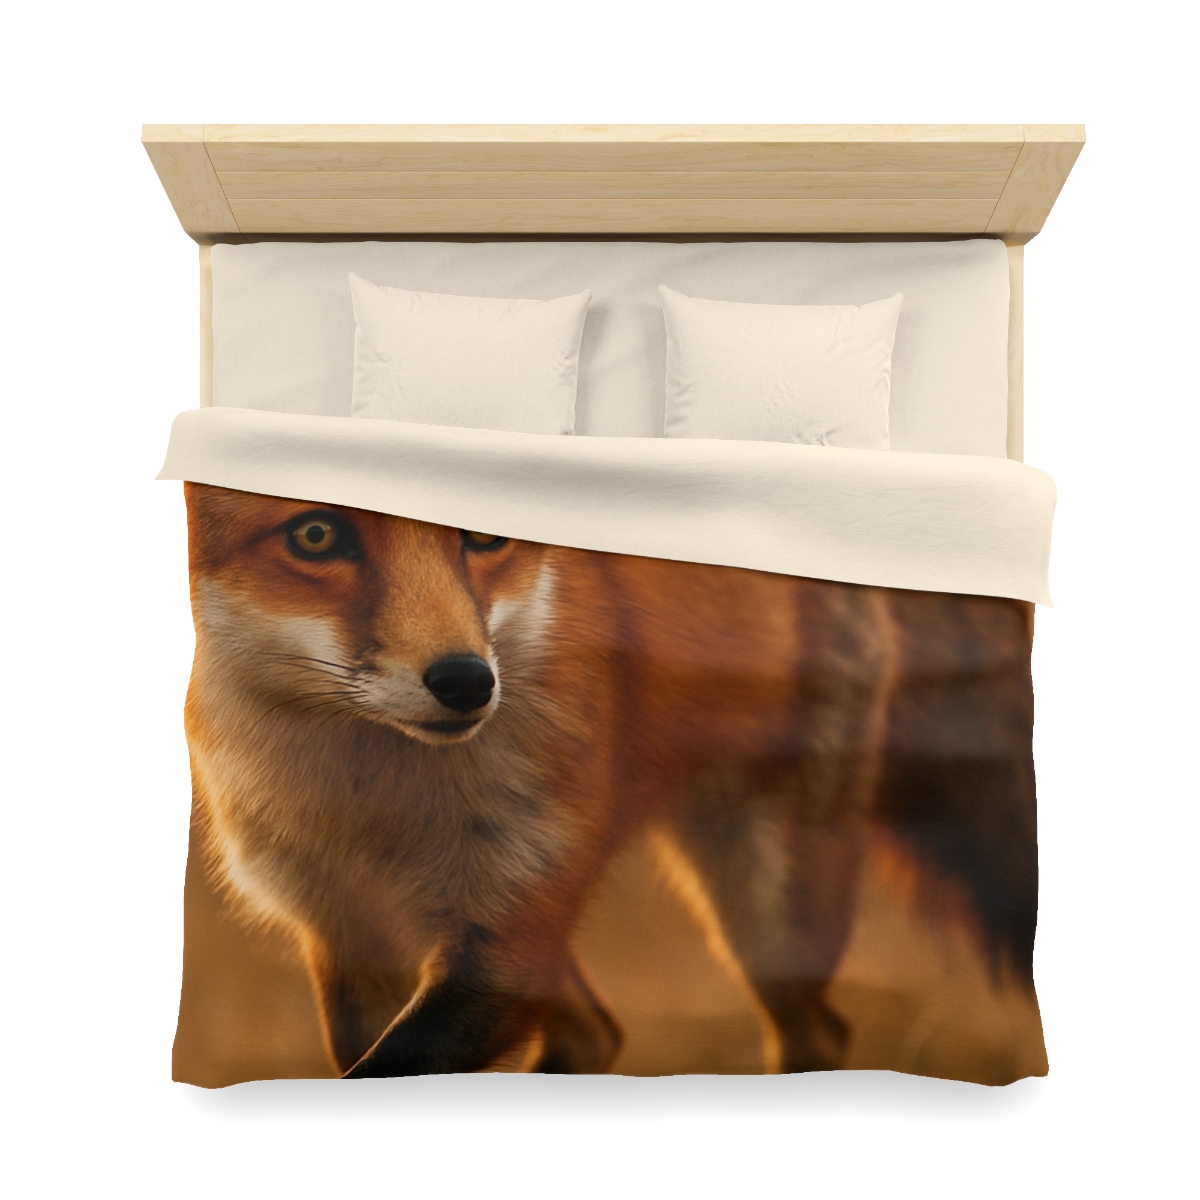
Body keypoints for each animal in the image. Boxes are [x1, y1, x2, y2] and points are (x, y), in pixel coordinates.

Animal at [183, 482, 1038, 1078]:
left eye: (484, 535)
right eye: (316, 535)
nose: (467, 683)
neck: (370, 810)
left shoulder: (507, 929)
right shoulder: (343, 932)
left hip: (763, 908)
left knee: (811, 1030)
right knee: (597, 1033)